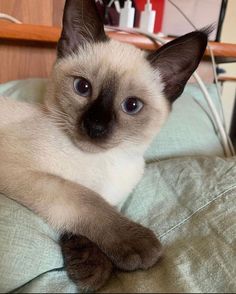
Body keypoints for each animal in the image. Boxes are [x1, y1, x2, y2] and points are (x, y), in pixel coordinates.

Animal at [0, 0, 209, 292]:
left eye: (131, 105)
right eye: (82, 87)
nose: (95, 127)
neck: (106, 162)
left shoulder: (115, 199)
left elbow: (89, 219)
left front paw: (94, 269)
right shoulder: (26, 173)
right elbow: (85, 200)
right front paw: (125, 254)